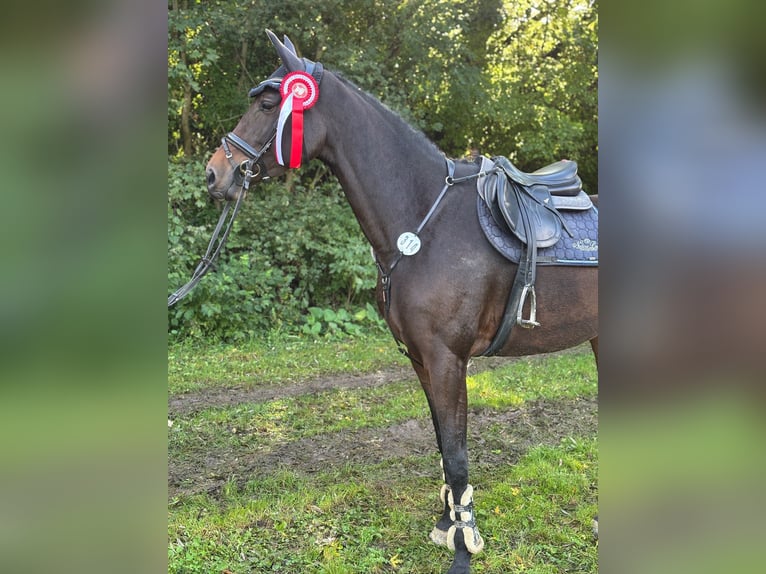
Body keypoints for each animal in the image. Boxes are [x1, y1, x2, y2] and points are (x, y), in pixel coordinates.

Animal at [205, 31, 598, 574]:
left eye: (268, 104)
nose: (213, 173)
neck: (423, 225)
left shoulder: (448, 358)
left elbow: (456, 452)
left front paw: (463, 547)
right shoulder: (421, 359)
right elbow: (441, 442)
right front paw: (448, 523)